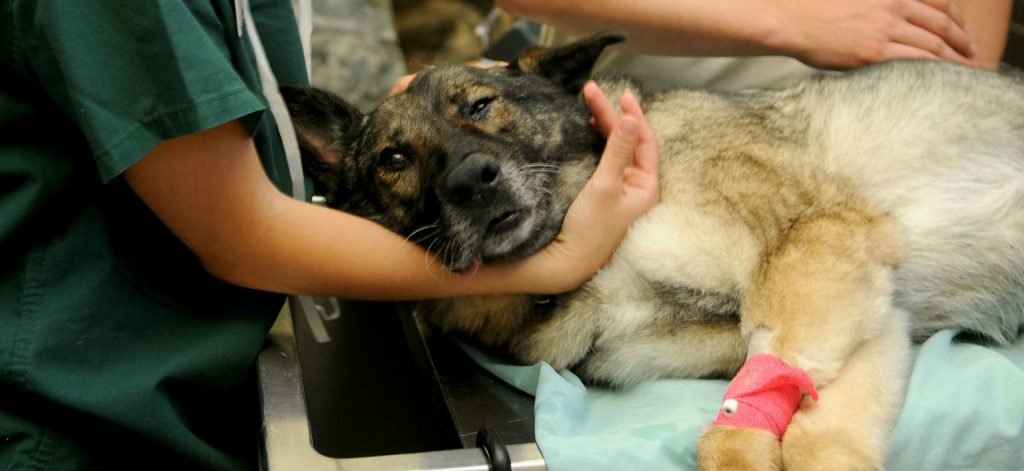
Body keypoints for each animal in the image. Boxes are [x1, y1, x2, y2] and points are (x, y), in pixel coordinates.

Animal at [284, 31, 1024, 468]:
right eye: (395, 158)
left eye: (482, 103)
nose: (472, 180)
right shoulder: (868, 314)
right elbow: (813, 423)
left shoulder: (820, 244)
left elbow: (761, 420)